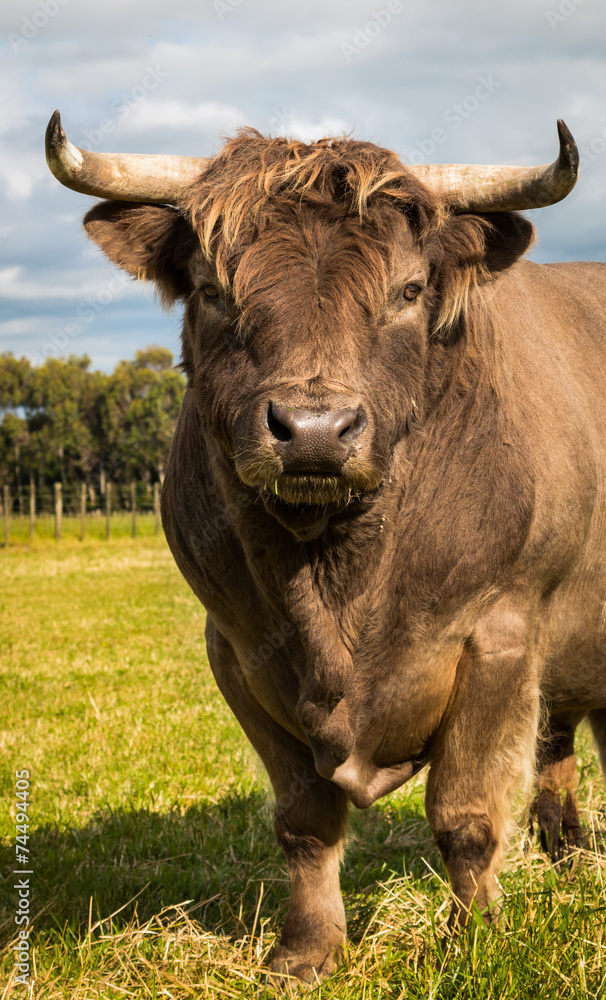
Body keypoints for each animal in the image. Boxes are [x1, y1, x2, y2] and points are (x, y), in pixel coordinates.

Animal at [46, 111, 606, 987]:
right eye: (214, 289)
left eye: (409, 292)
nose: (313, 430)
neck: (335, 577)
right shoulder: (238, 650)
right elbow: (305, 821)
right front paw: (306, 952)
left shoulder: (500, 635)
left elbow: (467, 813)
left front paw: (473, 939)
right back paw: (571, 858)